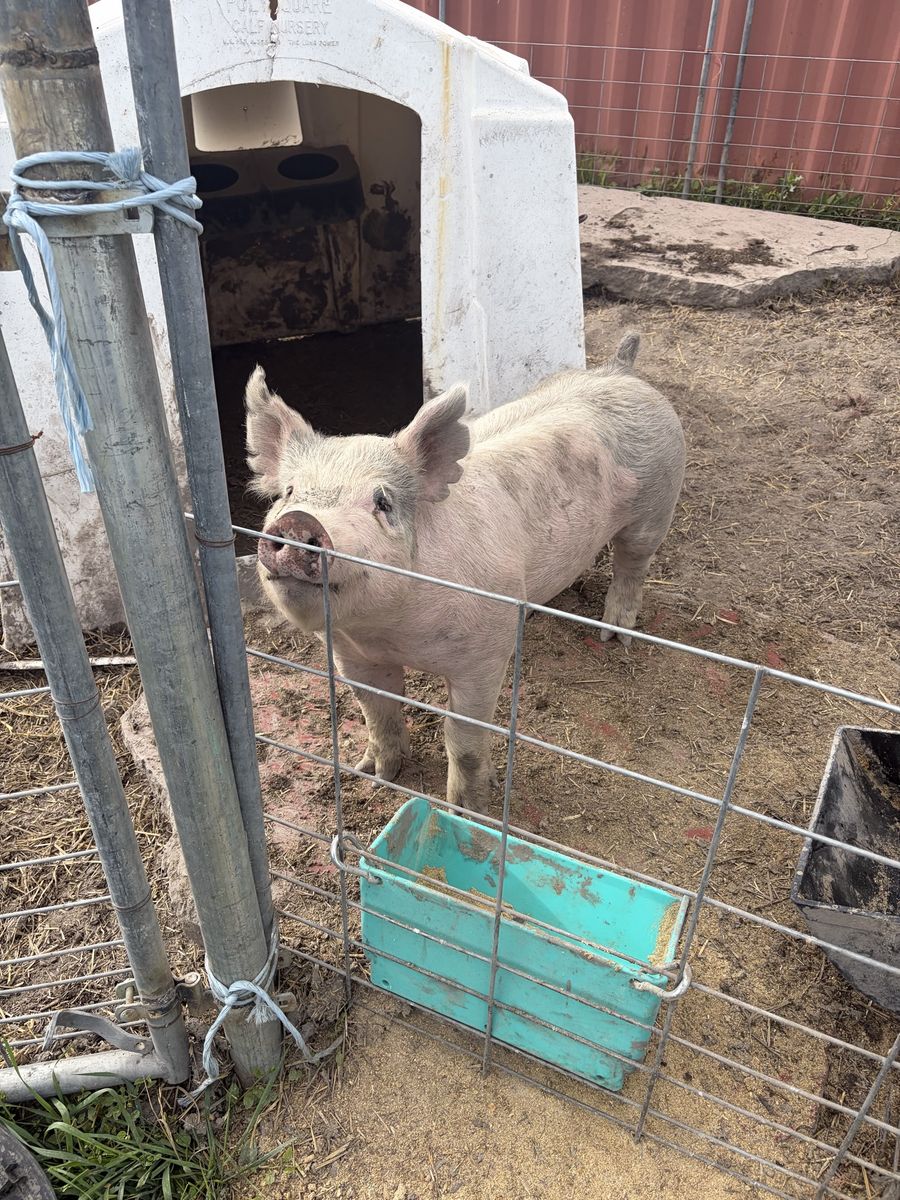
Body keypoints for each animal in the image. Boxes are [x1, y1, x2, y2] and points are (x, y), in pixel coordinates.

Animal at [246, 331, 684, 814]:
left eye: (383, 502)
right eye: (289, 492)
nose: (299, 521)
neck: (391, 632)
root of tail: (620, 370)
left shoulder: (483, 655)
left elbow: (465, 739)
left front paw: (466, 810)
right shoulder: (350, 653)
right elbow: (376, 711)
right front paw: (376, 775)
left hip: (656, 506)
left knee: (632, 565)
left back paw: (614, 635)